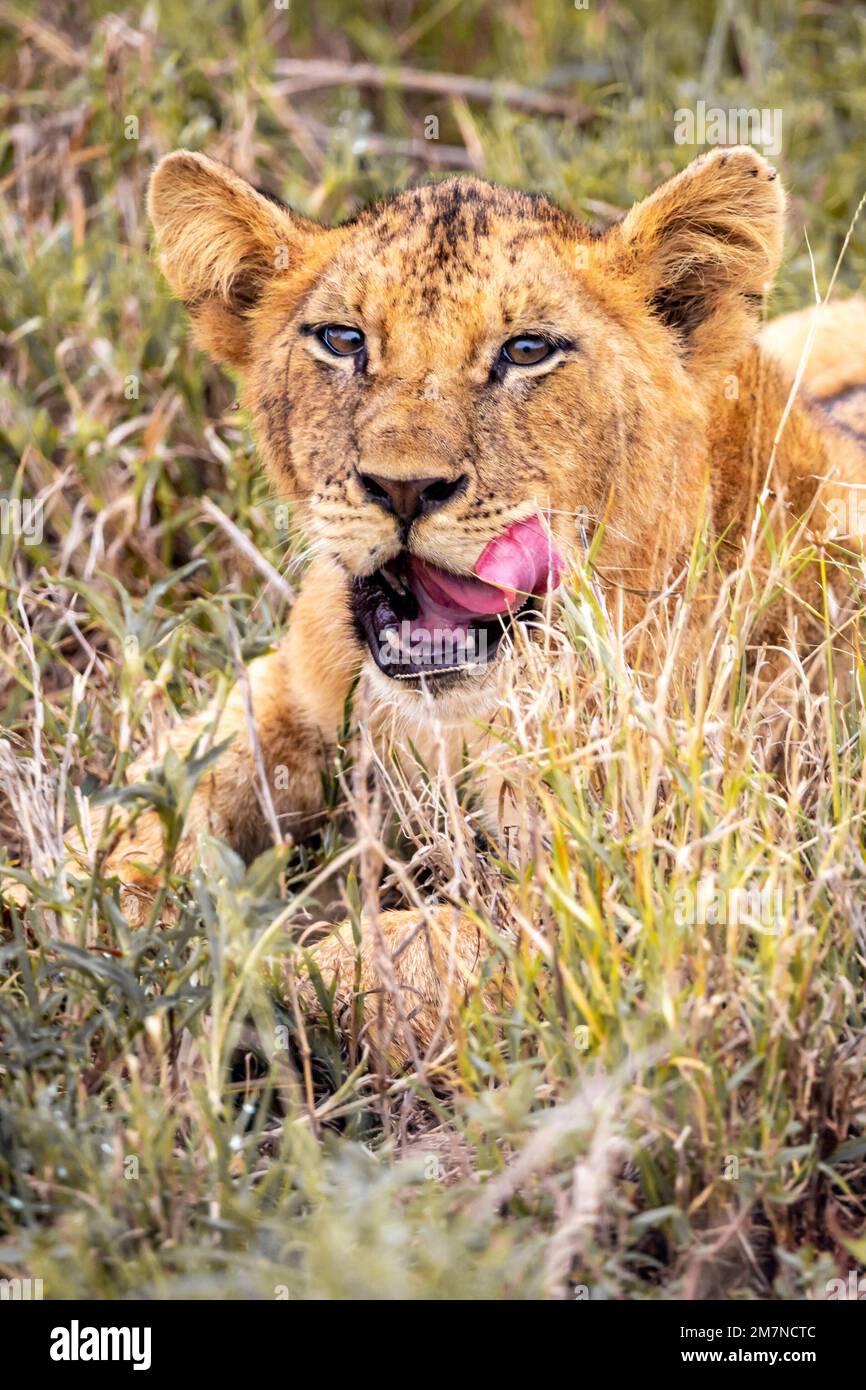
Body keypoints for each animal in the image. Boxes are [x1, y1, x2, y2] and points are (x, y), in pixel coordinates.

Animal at [81, 146, 866, 1062]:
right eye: (343, 340)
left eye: (527, 350)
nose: (403, 487)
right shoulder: (291, 688)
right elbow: (162, 789)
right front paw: (79, 903)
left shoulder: (670, 901)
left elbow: (382, 962)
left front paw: (203, 976)